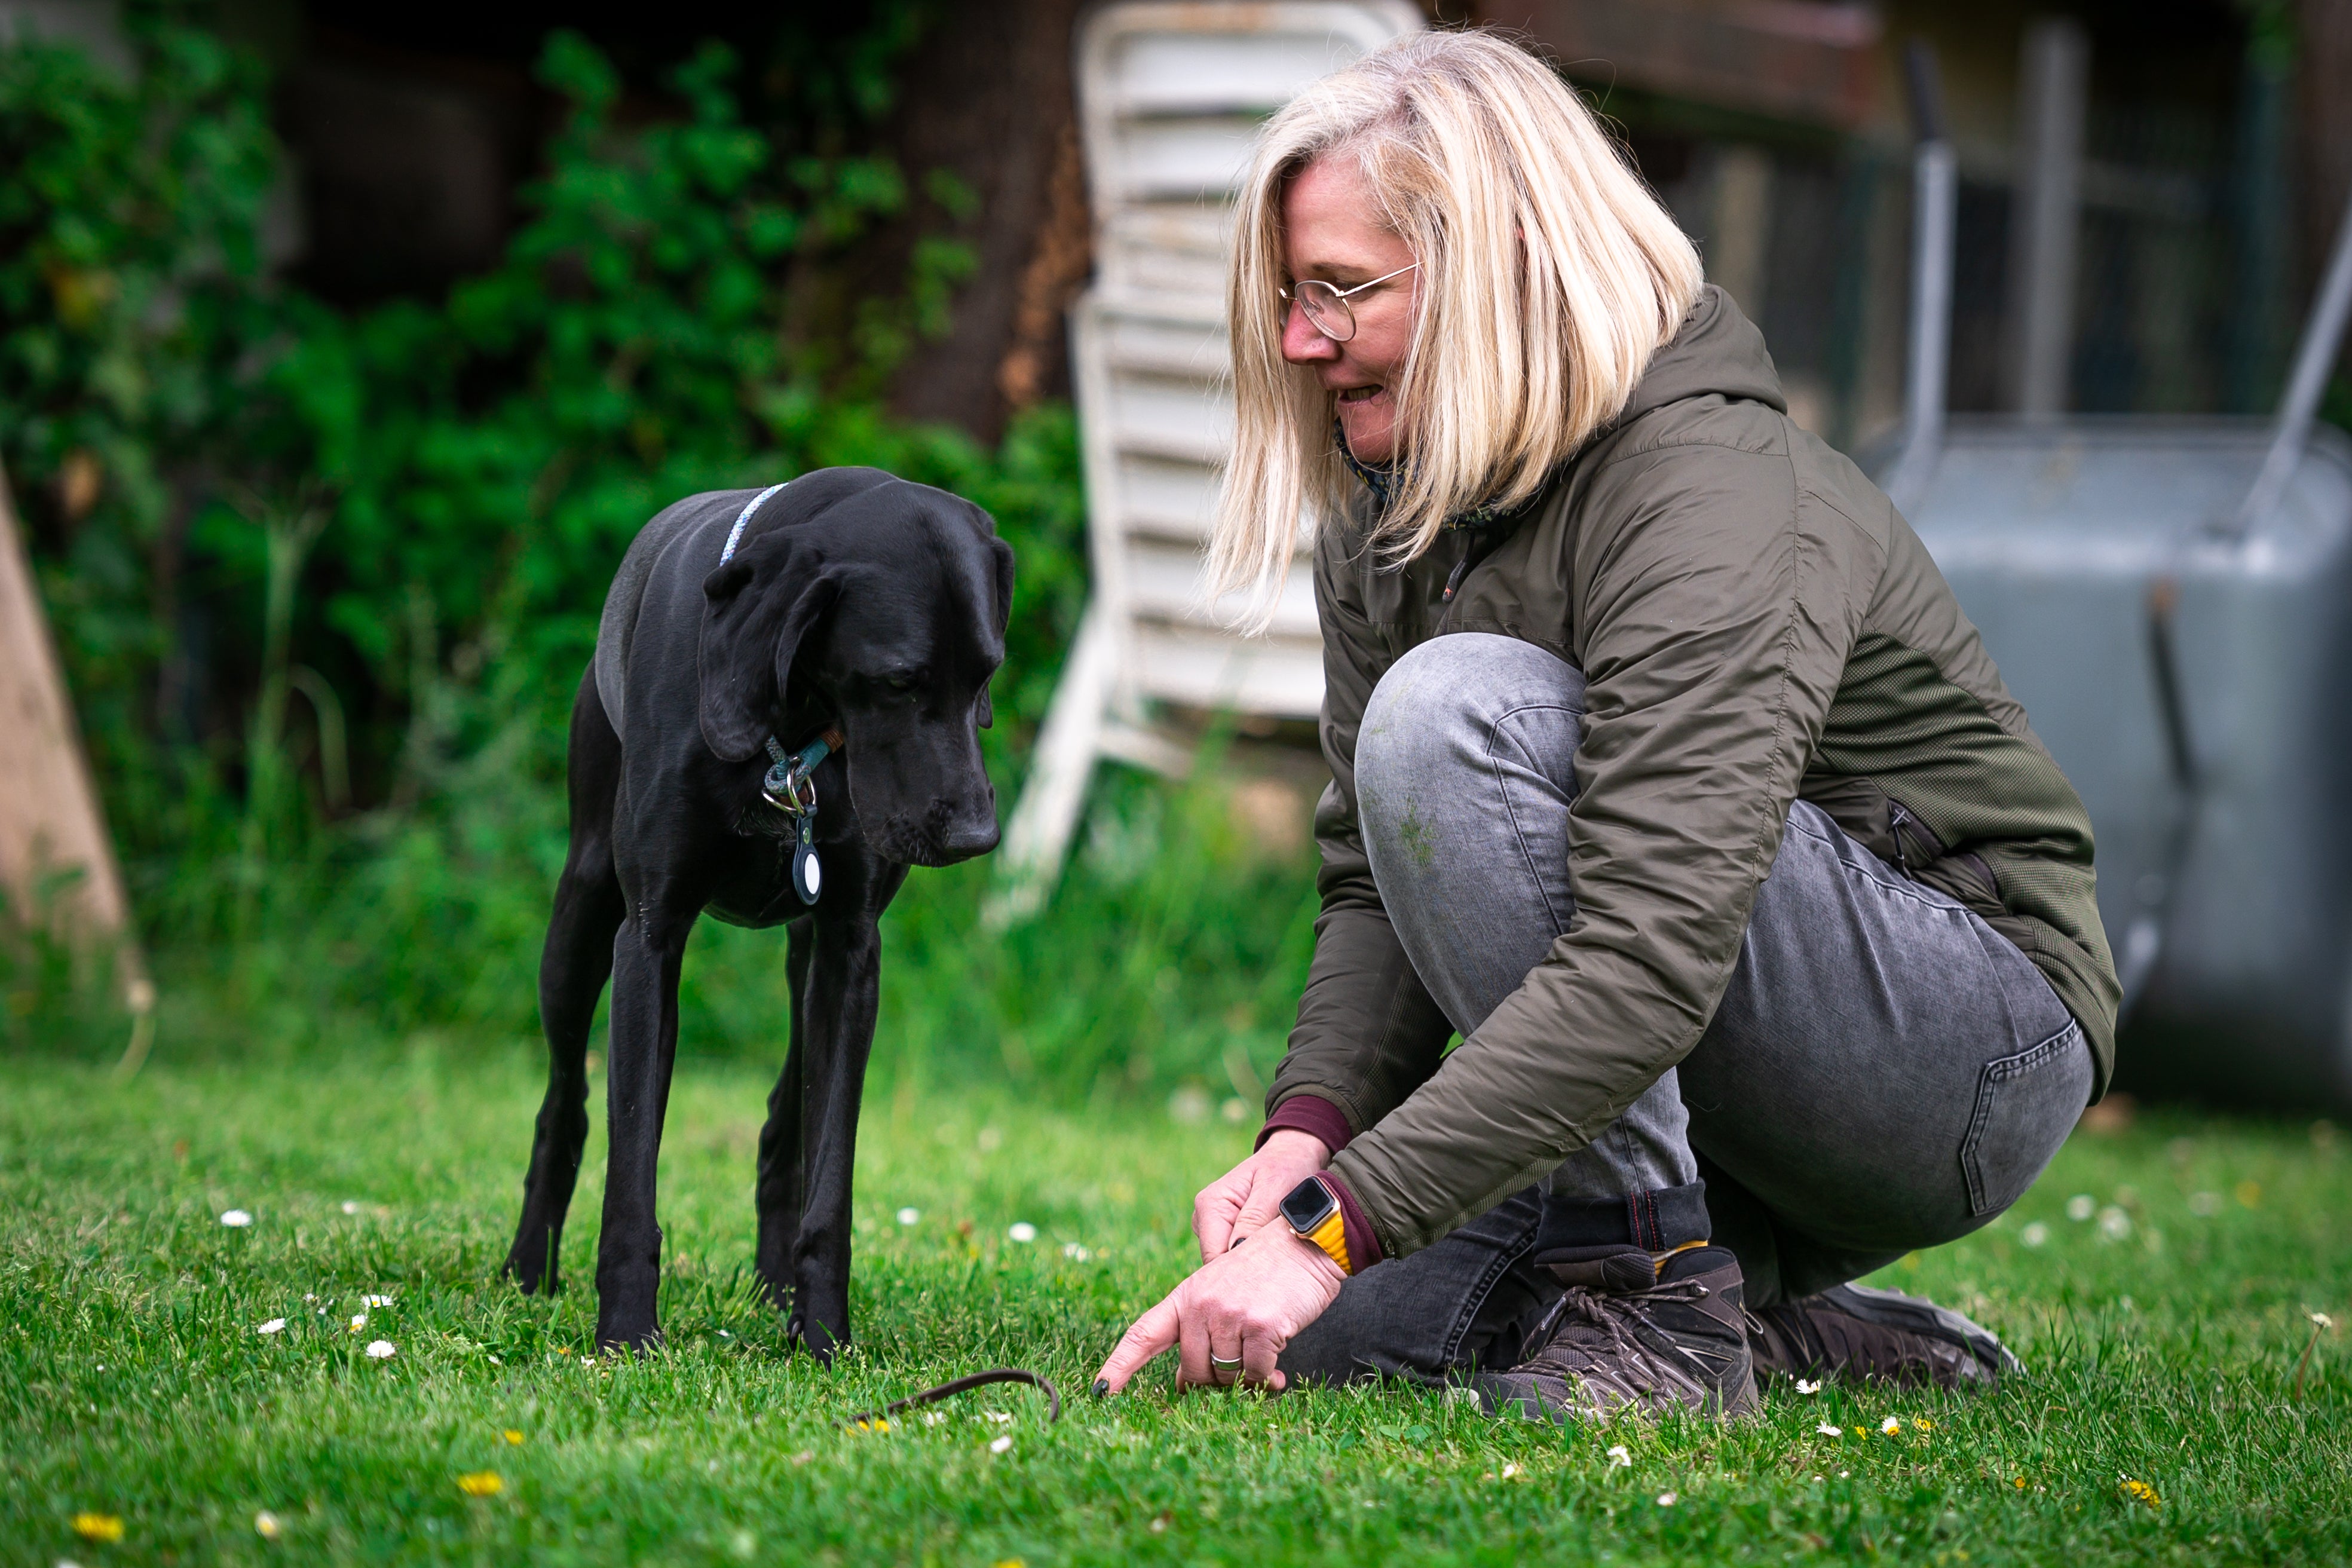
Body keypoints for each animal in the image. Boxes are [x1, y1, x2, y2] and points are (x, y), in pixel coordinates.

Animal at [501, 465, 1016, 1363]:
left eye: (987, 673)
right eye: (898, 680)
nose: (976, 836)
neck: (793, 728)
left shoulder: (849, 951)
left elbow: (829, 1172)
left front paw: (824, 1335)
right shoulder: (651, 938)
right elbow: (631, 1167)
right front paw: (626, 1333)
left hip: (804, 956)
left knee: (787, 1122)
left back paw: (777, 1289)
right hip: (578, 921)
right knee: (564, 1101)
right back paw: (530, 1266)